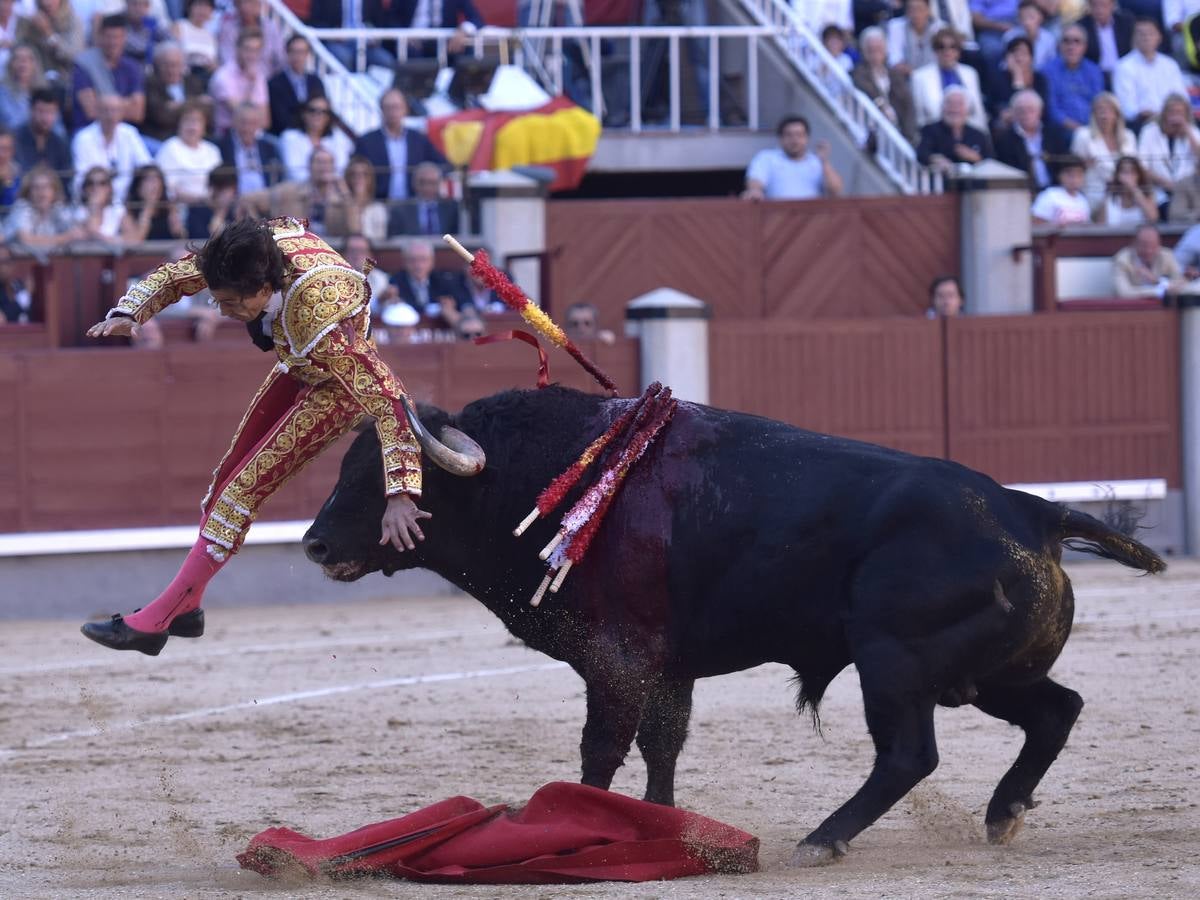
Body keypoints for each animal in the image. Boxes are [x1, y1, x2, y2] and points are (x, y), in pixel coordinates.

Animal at [304, 386, 1166, 868]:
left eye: (389, 479)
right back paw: (1001, 815)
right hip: (982, 674)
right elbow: (663, 744)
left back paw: (824, 840)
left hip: (896, 664)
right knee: (1057, 709)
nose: (312, 543)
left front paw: (574, 825)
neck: (545, 478)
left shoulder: (614, 661)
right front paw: (658, 824)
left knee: (909, 755)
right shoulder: (665, 667)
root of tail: (1032, 510)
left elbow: (600, 749)